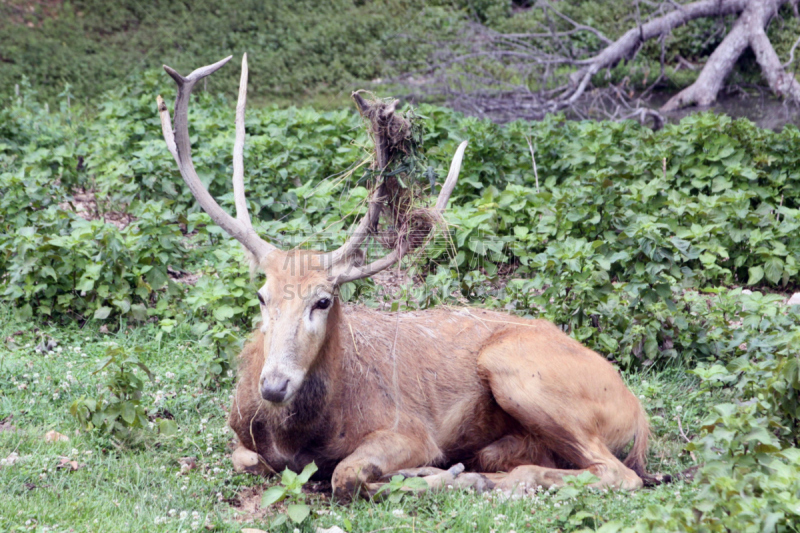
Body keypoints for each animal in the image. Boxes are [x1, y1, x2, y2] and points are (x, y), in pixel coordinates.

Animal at [158, 55, 656, 502]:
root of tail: (636, 412)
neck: (298, 437)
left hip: (517, 367)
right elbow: (248, 459)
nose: (274, 385)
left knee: (617, 474)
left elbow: (347, 475)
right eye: (262, 297)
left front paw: (427, 474)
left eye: (323, 300)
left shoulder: (409, 429)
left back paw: (476, 479)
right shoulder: (242, 439)